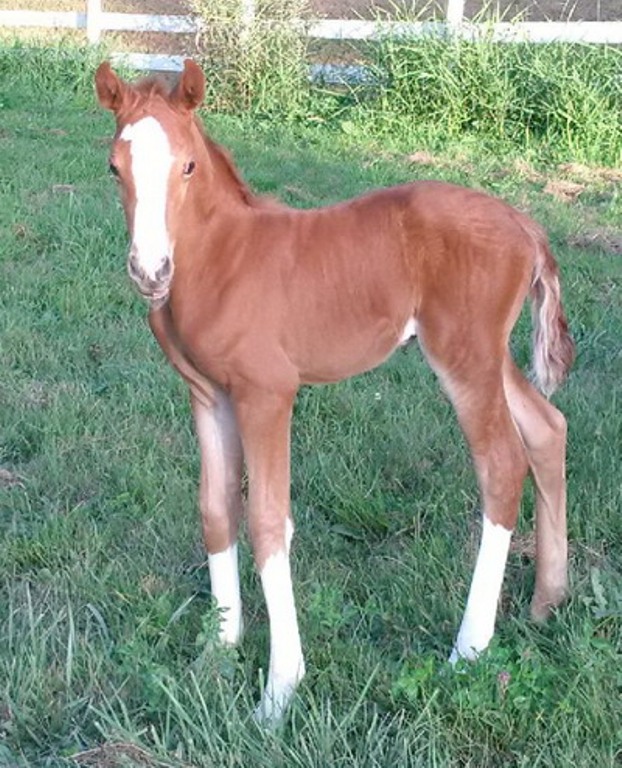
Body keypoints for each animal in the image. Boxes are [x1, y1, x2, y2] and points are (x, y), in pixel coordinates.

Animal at [95, 59, 574, 724]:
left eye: (187, 165)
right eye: (115, 167)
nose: (150, 272)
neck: (223, 259)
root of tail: (526, 223)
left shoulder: (267, 394)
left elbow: (268, 522)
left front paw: (279, 691)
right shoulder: (207, 393)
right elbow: (216, 509)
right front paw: (218, 652)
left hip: (464, 355)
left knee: (502, 463)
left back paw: (469, 649)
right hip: (487, 354)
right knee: (547, 428)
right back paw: (547, 600)